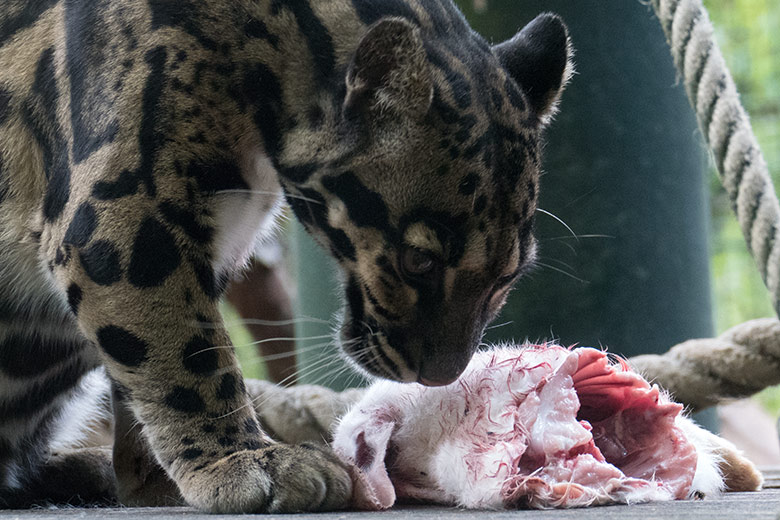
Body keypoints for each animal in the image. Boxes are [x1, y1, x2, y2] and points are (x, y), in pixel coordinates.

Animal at [0, 0, 572, 512]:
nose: (440, 378)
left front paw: (152, 482)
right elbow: (187, 353)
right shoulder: (121, 219)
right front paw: (241, 464)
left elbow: (145, 371)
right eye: (419, 261)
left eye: (508, 278)